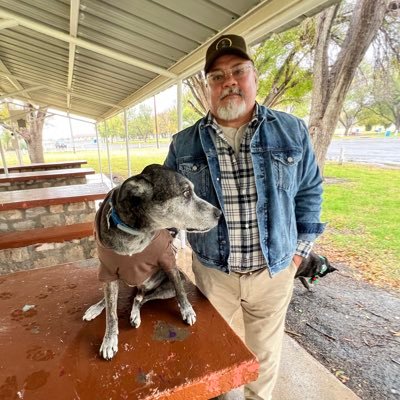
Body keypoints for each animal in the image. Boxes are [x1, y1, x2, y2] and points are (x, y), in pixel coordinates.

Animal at [82, 163, 220, 360]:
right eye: (186, 192)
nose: (219, 213)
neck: (136, 233)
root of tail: (140, 286)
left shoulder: (168, 261)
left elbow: (181, 292)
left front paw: (187, 311)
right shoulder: (107, 271)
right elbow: (111, 313)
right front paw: (109, 340)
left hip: (163, 288)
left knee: (141, 298)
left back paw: (135, 313)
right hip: (118, 280)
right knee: (115, 300)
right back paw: (98, 307)